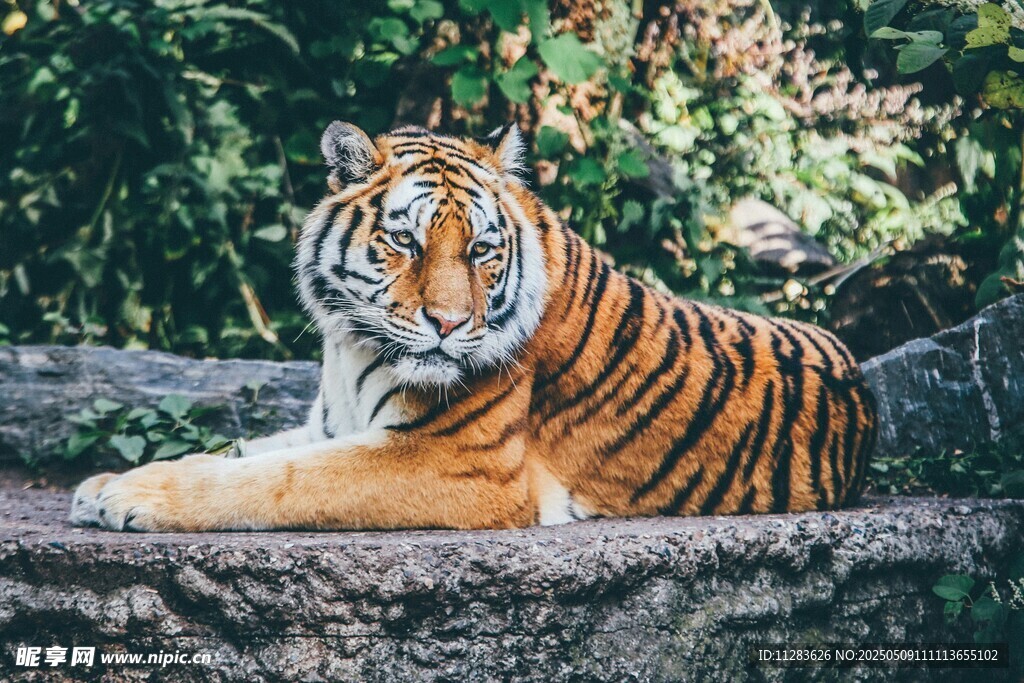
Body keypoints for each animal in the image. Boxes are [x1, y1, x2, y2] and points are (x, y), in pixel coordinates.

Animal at [69, 122, 877, 532]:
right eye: (406, 241)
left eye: (483, 250)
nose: (451, 324)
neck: (350, 346)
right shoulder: (331, 423)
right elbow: (241, 452)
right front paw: (106, 483)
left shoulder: (455, 463)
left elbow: (278, 480)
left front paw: (132, 498)